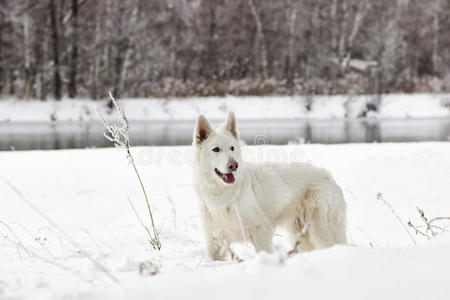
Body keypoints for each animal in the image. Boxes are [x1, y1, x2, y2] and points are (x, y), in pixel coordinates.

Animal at [192, 112, 346, 260]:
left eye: (232, 148)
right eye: (216, 149)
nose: (234, 165)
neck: (221, 193)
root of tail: (327, 175)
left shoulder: (261, 232)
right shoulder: (214, 240)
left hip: (323, 230)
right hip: (300, 235)